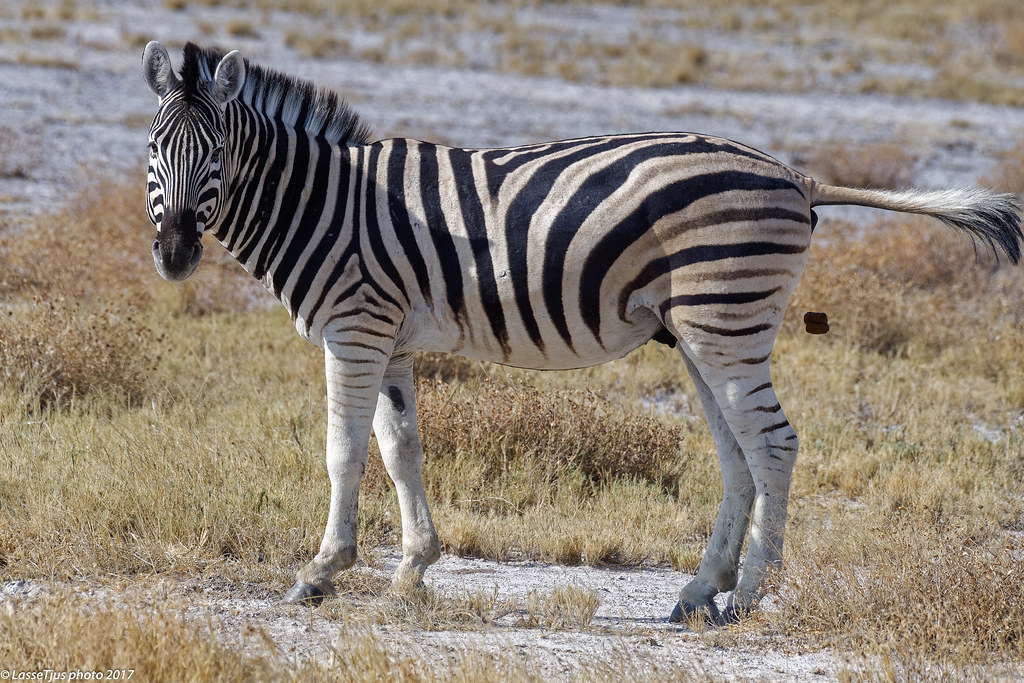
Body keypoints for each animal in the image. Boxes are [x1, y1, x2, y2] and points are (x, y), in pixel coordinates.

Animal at [141, 41, 1022, 624]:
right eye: (154, 148)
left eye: (216, 150)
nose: (176, 253)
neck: (325, 202)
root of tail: (795, 174)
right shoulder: (391, 339)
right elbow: (401, 450)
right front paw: (413, 569)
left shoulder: (355, 327)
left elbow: (344, 451)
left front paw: (321, 571)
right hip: (703, 330)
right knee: (737, 453)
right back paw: (699, 590)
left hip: (727, 321)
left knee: (773, 444)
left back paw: (748, 594)